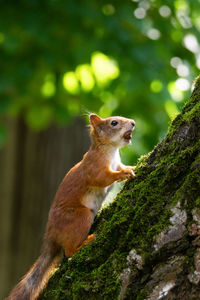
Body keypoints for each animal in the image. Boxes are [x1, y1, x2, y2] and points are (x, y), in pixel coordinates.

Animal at [7, 113, 136, 300]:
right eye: (114, 123)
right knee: (68, 252)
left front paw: (132, 167)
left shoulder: (116, 162)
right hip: (80, 216)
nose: (133, 123)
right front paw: (123, 174)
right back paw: (85, 242)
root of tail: (51, 236)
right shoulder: (93, 166)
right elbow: (101, 178)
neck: (111, 151)